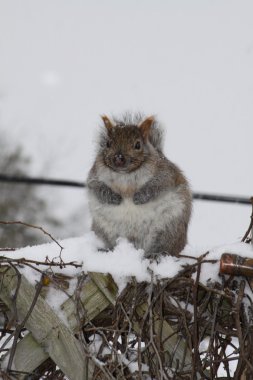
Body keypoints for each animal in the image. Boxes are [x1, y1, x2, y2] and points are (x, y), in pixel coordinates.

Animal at [87, 113, 192, 258]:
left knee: (164, 246)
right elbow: (96, 187)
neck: (124, 175)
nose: (119, 158)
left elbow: (158, 185)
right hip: (104, 230)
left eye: (138, 145)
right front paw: (113, 197)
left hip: (168, 229)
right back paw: (107, 250)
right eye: (108, 144)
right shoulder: (94, 175)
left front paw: (139, 197)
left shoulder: (165, 173)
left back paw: (156, 254)